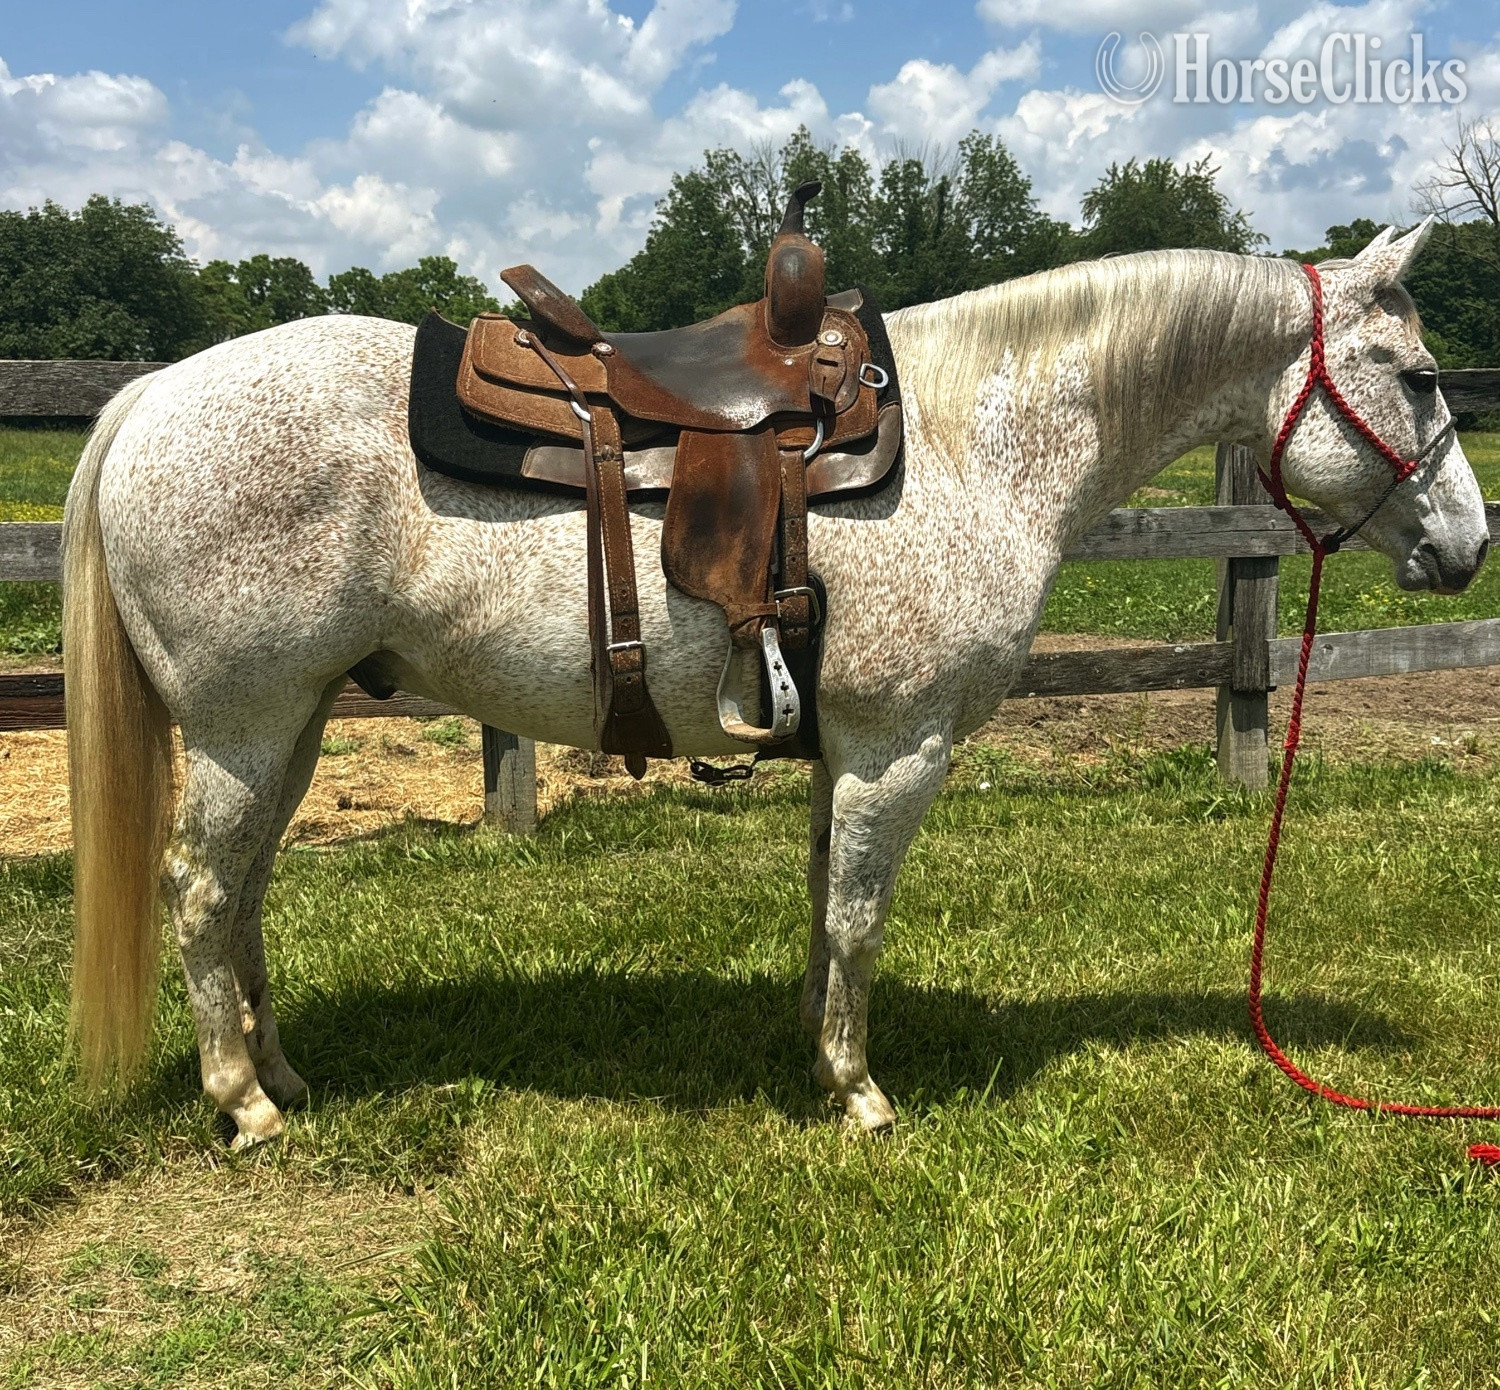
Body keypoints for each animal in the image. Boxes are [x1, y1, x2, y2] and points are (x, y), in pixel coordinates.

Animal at [63, 220, 1486, 1149]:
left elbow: (821, 903)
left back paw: (283, 1072)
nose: (1468, 548)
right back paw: (243, 1102)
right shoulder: (899, 750)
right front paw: (857, 1091)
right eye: (1422, 378)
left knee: (244, 891)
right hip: (244, 724)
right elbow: (859, 916)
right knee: (201, 891)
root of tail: (152, 396)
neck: (976, 441)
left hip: (291, 722)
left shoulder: (844, 751)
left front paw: (813, 1049)